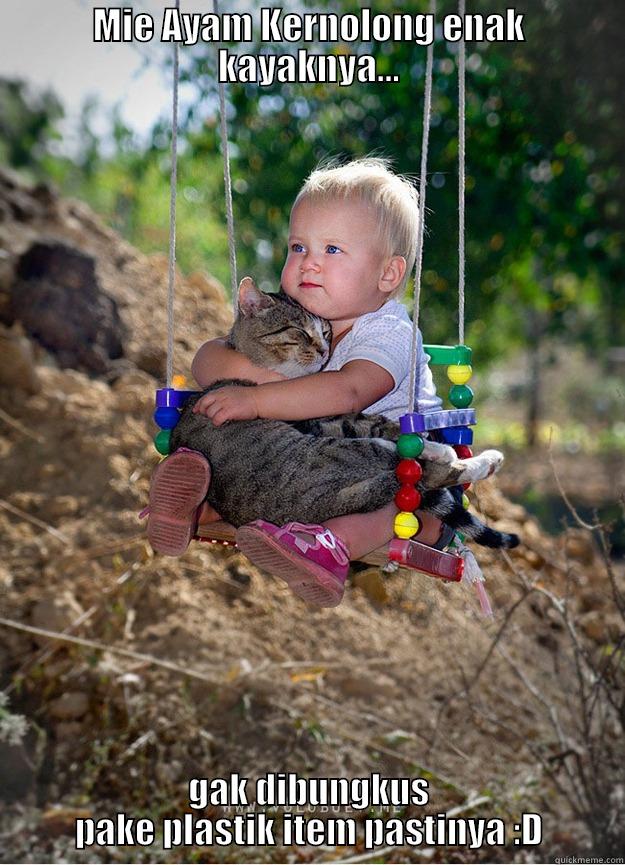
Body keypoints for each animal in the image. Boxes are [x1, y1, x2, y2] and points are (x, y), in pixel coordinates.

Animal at [171, 278, 516, 548]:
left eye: (326, 332)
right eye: (299, 332)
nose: (325, 351)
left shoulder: (326, 417)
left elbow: (376, 422)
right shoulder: (320, 421)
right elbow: (378, 425)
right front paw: (436, 447)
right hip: (339, 453)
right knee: (422, 471)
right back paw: (472, 458)